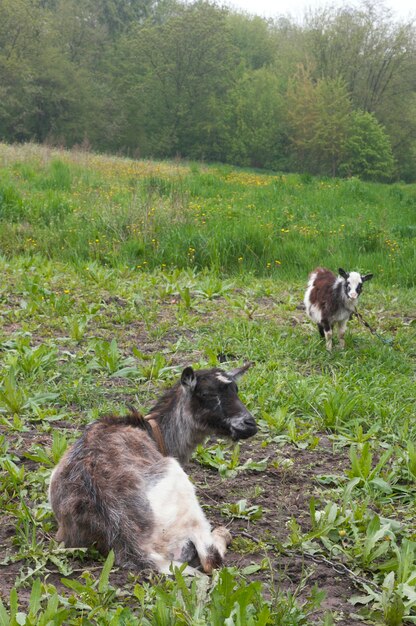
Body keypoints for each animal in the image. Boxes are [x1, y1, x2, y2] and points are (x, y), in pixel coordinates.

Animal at [48, 364, 256, 572]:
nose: (250, 424)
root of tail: (132, 542)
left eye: (236, 389)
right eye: (206, 394)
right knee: (210, 560)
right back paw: (222, 533)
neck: (155, 432)